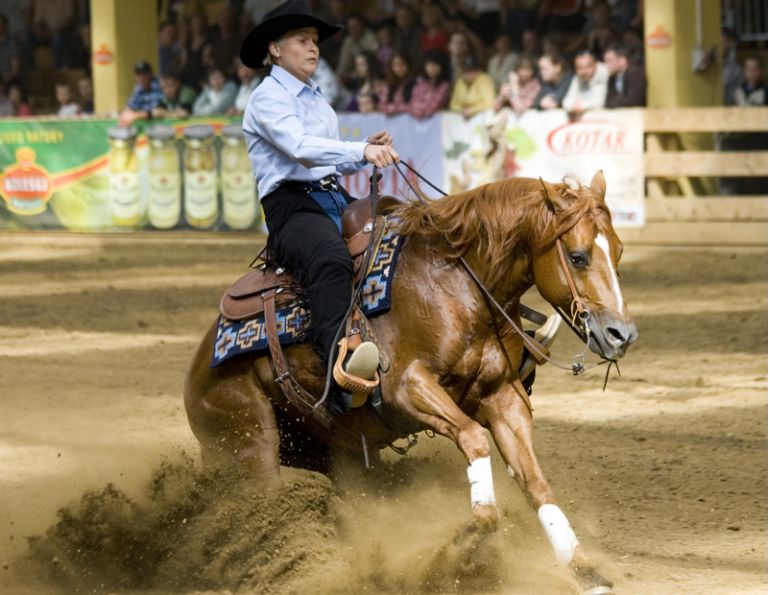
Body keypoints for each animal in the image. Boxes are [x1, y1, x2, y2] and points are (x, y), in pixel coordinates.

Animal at [184, 170, 637, 593]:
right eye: (578, 257)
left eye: (618, 250)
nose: (622, 334)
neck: (456, 285)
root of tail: (197, 368)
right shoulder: (406, 387)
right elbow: (473, 439)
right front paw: (467, 541)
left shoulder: (502, 396)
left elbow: (535, 482)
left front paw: (583, 569)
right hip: (250, 444)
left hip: (330, 452)